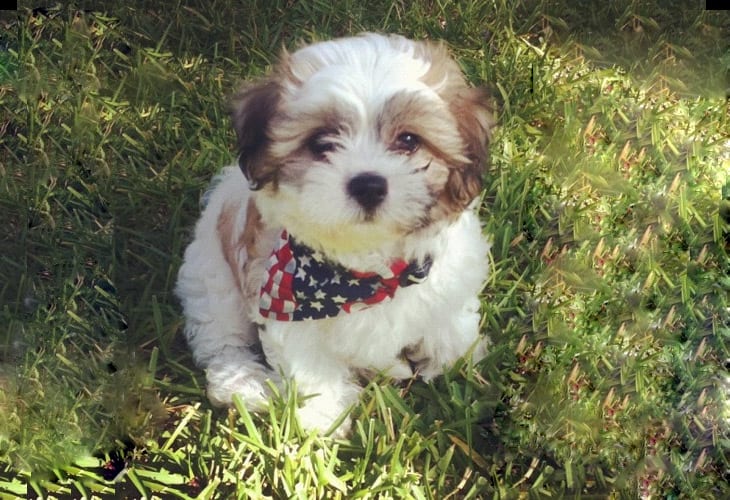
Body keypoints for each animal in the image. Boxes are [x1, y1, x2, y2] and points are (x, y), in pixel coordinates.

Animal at [176, 32, 492, 438]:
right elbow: (314, 369)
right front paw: (323, 419)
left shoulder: (451, 280)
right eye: (321, 143)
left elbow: (451, 324)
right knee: (221, 338)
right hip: (212, 277)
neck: (369, 274)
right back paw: (245, 383)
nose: (369, 184)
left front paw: (459, 361)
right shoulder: (287, 311)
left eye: (408, 140)